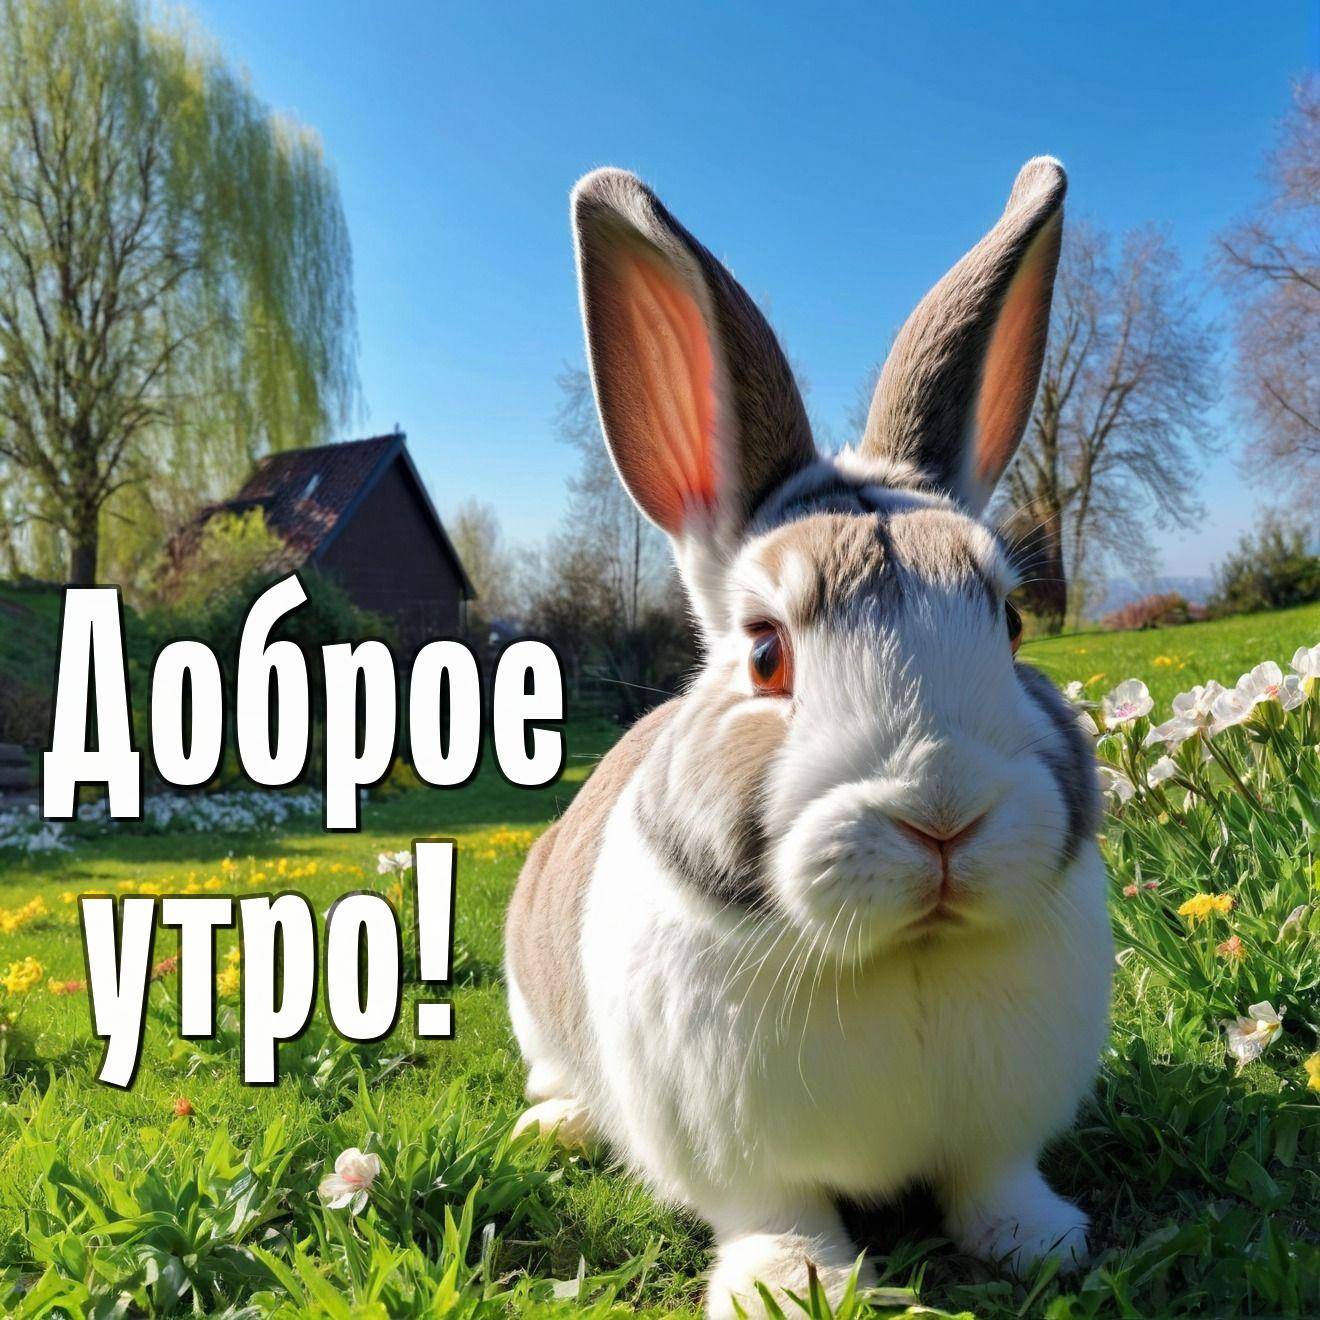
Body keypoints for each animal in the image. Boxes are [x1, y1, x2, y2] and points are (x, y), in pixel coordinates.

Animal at [505, 157, 1111, 1318]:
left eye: (1010, 623)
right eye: (765, 655)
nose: (941, 815)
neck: (902, 957)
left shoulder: (1000, 1127)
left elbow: (994, 1179)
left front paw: (1040, 1241)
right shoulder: (738, 1154)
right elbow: (777, 1211)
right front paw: (794, 1284)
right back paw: (553, 1126)